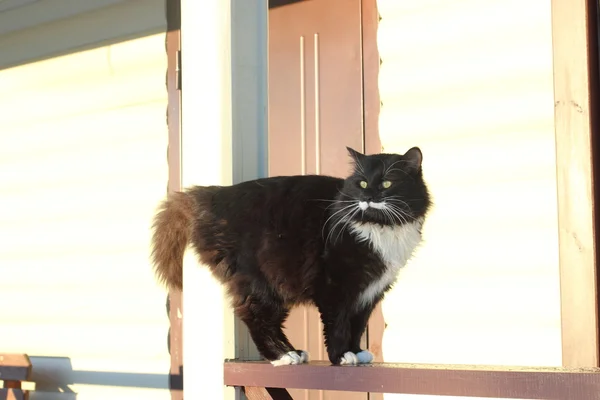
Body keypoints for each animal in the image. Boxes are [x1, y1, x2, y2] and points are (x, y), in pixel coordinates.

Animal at [150, 146, 432, 366]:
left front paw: (357, 352)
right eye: (362, 183)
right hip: (259, 281)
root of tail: (214, 193)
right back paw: (281, 356)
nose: (368, 196)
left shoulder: (370, 291)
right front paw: (341, 356)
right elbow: (339, 324)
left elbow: (357, 324)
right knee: (254, 315)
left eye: (387, 183)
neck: (380, 226)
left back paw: (292, 352)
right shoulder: (335, 286)